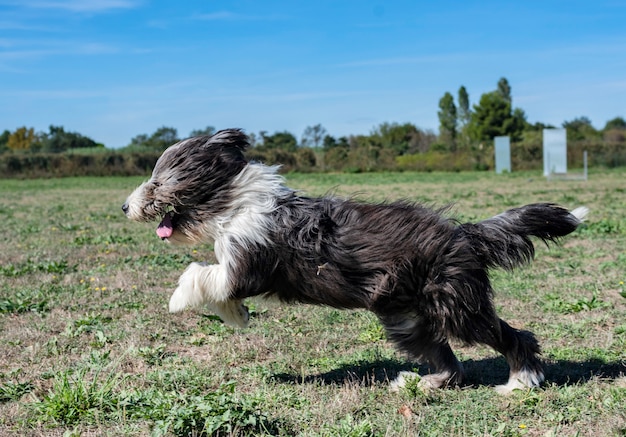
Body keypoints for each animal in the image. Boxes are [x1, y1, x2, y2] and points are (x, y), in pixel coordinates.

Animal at [122, 127, 584, 394]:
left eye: (158, 182)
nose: (126, 206)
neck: (234, 204)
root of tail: (463, 233)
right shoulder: (238, 265)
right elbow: (218, 286)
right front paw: (236, 315)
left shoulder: (248, 263)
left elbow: (201, 275)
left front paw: (178, 300)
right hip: (407, 317)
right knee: (448, 362)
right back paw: (421, 383)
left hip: (454, 303)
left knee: (513, 335)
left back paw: (521, 381)